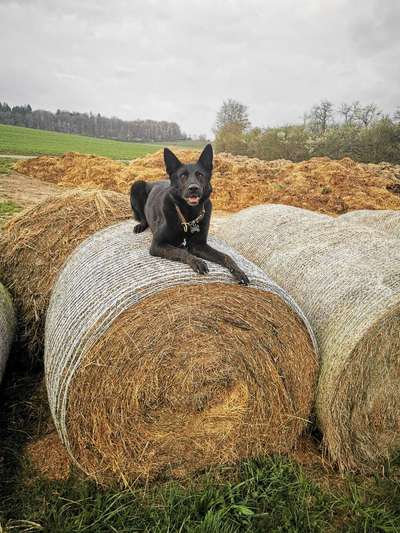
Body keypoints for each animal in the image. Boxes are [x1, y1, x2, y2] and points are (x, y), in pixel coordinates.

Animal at [131, 143, 248, 284]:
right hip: (137, 185)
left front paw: (239, 271)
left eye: (200, 175)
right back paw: (140, 226)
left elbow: (226, 256)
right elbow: (182, 252)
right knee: (142, 217)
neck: (188, 215)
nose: (193, 188)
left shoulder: (199, 245)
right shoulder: (157, 245)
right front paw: (197, 261)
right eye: (183, 176)